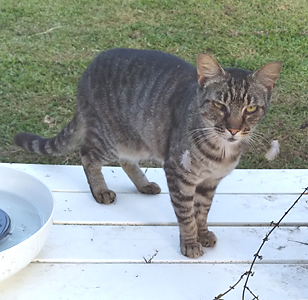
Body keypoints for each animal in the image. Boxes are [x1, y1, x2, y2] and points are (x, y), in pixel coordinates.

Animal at [13, 48, 282, 258]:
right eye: (219, 104)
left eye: (251, 108)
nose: (234, 129)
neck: (221, 150)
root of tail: (89, 68)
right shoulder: (178, 172)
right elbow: (186, 214)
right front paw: (190, 242)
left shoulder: (209, 182)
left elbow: (202, 211)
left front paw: (203, 232)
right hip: (109, 138)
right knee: (87, 153)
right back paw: (100, 190)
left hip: (138, 139)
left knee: (125, 161)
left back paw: (143, 184)